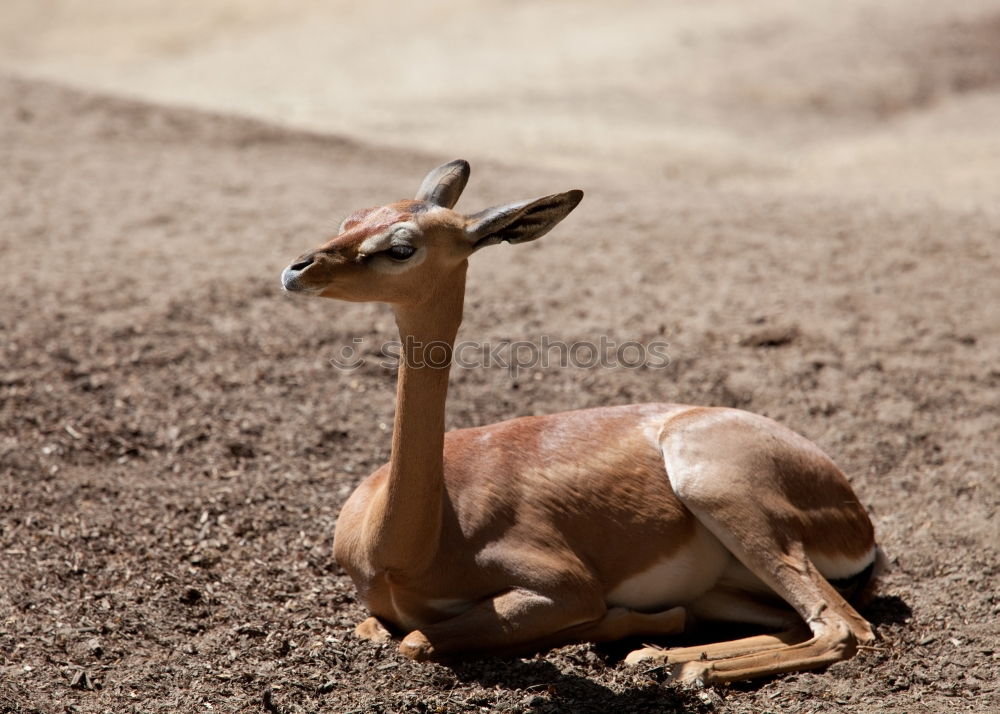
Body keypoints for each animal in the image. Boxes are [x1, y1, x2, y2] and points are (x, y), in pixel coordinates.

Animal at [282, 161, 884, 684]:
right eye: (353, 218)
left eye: (401, 247)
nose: (297, 269)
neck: (406, 552)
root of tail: (856, 517)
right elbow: (379, 630)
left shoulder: (565, 588)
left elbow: (416, 639)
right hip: (727, 584)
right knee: (793, 623)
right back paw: (658, 657)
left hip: (722, 496)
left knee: (845, 629)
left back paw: (682, 664)